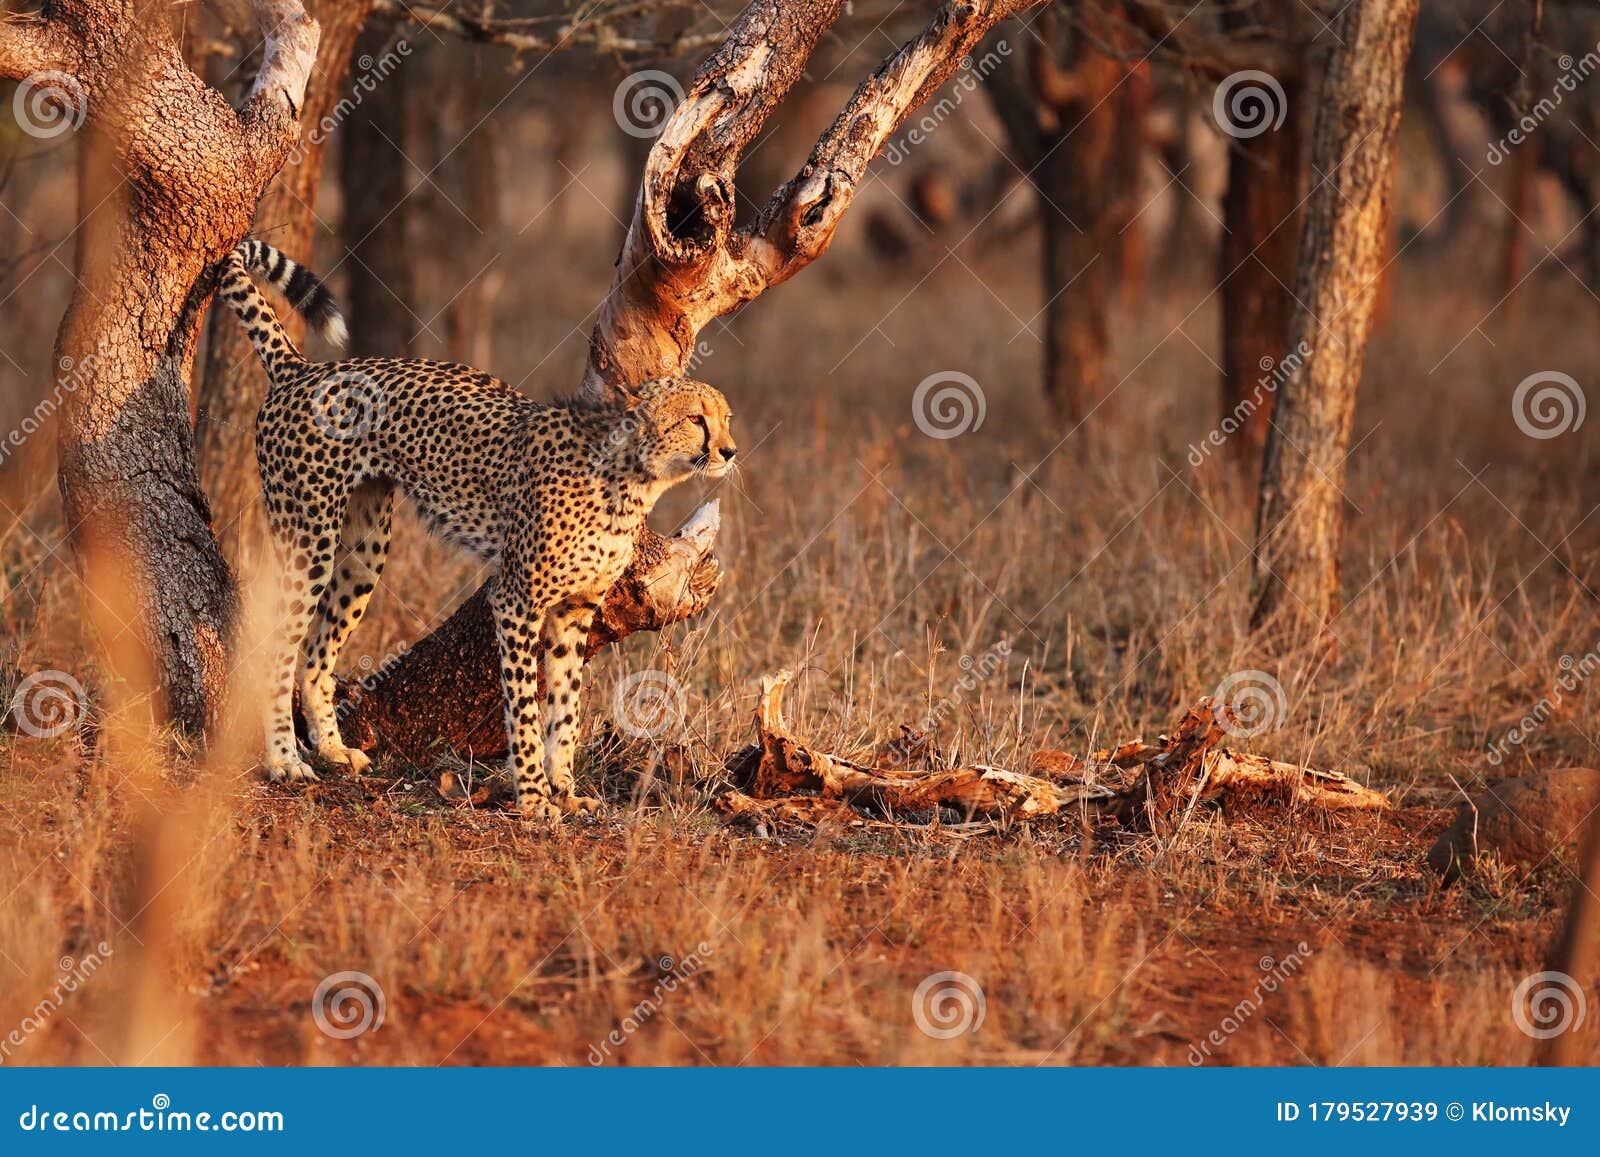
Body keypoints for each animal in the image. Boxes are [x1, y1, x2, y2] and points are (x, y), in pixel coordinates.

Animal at [217, 241, 736, 825]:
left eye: (726, 418)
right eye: (695, 419)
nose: (730, 451)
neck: (633, 480)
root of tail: (303, 371)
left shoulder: (575, 609)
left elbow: (566, 705)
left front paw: (565, 788)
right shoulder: (516, 600)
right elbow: (526, 709)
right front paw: (533, 796)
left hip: (365, 549)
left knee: (315, 653)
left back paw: (330, 748)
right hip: (308, 538)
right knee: (276, 645)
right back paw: (284, 759)